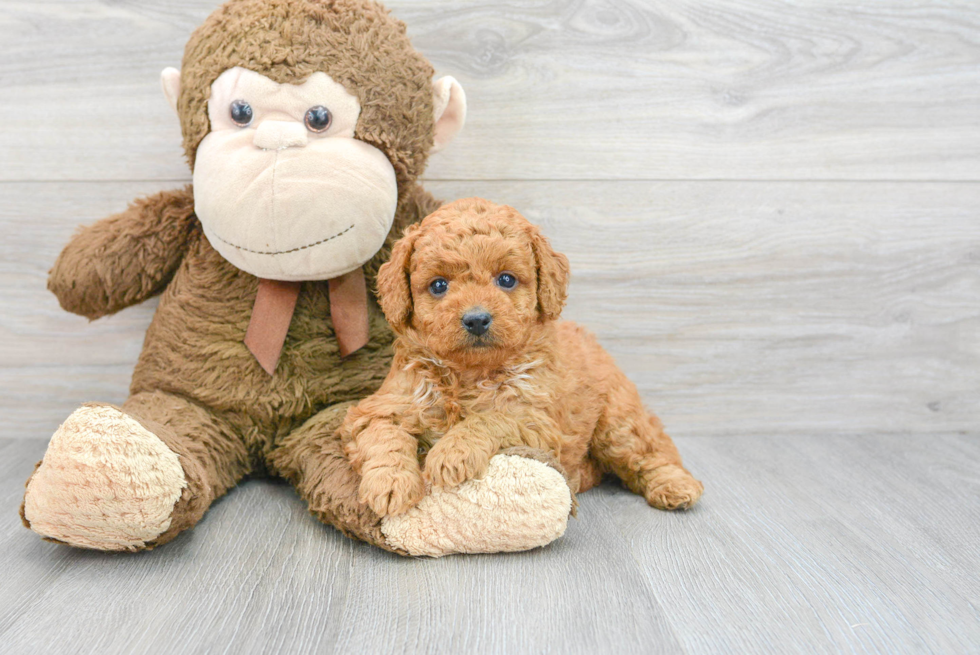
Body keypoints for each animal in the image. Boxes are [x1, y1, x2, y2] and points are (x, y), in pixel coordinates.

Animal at [338, 197, 704, 516]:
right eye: (439, 285)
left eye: (506, 279)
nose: (476, 319)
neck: (468, 374)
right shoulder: (383, 407)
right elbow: (383, 437)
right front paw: (390, 484)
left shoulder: (535, 419)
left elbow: (489, 418)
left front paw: (452, 452)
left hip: (618, 422)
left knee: (652, 452)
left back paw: (676, 486)